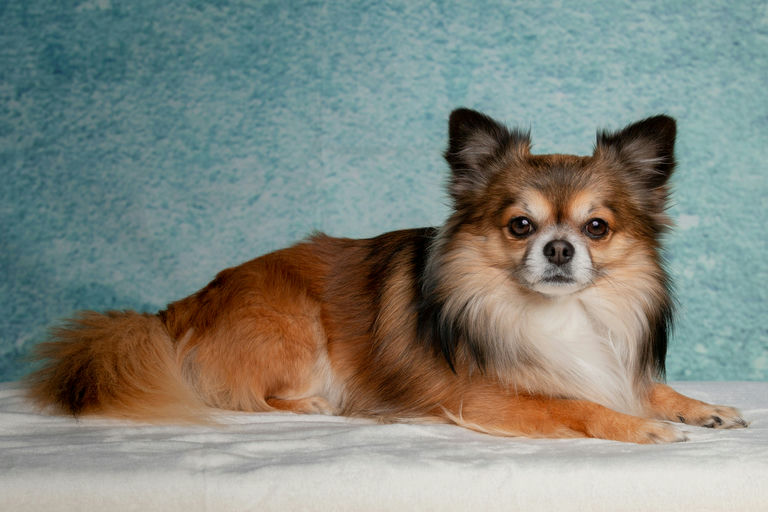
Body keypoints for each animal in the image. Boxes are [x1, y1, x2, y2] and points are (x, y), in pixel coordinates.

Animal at [27, 109, 748, 444]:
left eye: (596, 228)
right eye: (520, 225)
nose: (560, 248)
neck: (557, 315)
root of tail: (175, 309)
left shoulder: (605, 362)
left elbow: (645, 387)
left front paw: (700, 406)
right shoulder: (481, 397)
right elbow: (571, 404)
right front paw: (639, 426)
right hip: (292, 326)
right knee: (242, 393)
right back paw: (317, 404)